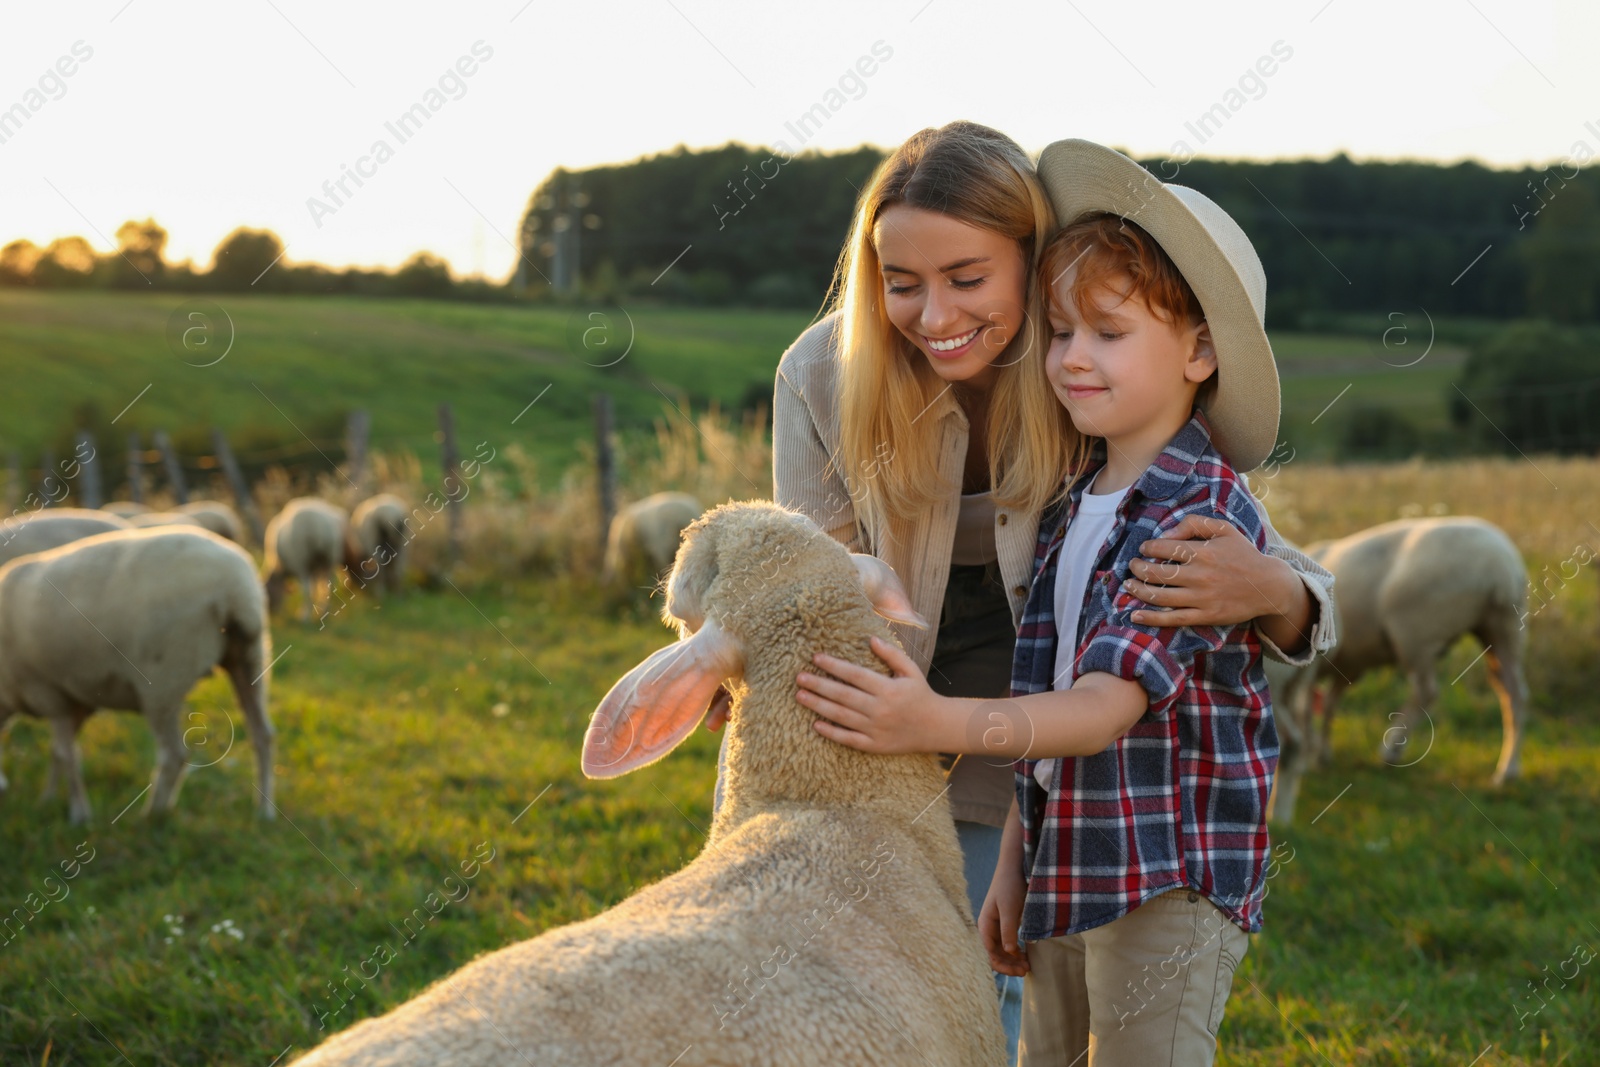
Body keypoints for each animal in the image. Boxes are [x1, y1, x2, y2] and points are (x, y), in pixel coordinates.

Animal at [0, 527, 275, 825]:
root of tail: (235, 590)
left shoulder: (49, 692)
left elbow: (66, 753)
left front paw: (78, 814)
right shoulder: (78, 700)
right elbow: (58, 753)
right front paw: (47, 800)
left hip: (163, 678)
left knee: (174, 754)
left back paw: (152, 815)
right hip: (250, 657)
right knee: (263, 734)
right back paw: (264, 811)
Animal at [1267, 518, 1529, 825]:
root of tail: (1500, 568)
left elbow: (1311, 708)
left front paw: (1312, 757)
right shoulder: (1345, 667)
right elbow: (1327, 703)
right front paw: (1321, 754)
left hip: (1417, 631)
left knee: (1426, 692)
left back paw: (1391, 749)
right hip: (1504, 627)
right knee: (1513, 692)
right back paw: (1507, 771)